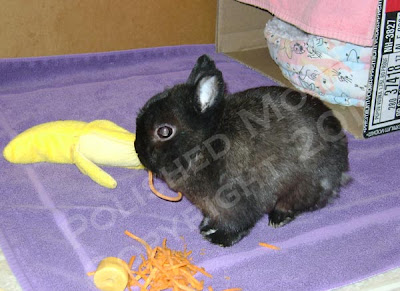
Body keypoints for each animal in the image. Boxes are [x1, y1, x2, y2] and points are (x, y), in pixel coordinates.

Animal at [134, 54, 346, 246]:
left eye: (164, 131)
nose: (138, 151)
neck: (205, 143)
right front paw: (205, 226)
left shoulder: (234, 201)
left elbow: (237, 224)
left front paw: (219, 239)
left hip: (303, 186)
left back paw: (278, 218)